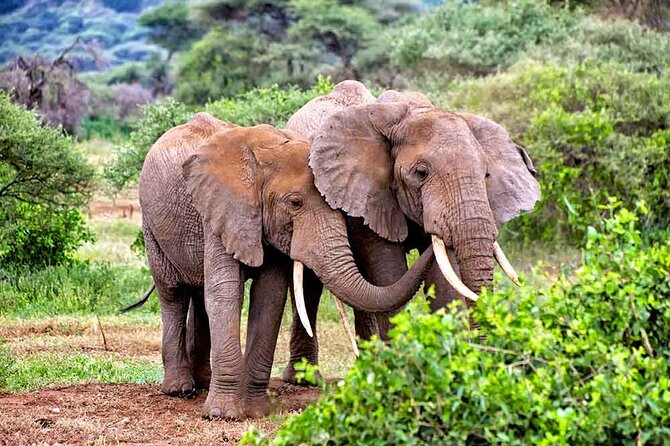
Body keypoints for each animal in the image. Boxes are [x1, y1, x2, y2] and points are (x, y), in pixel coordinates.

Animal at [139, 112, 434, 419]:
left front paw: (257, 411)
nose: (430, 236)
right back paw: (179, 389)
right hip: (150, 224)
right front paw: (223, 415)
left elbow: (270, 297)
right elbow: (226, 292)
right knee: (172, 293)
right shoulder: (223, 211)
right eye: (295, 203)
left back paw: (204, 383)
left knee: (197, 293)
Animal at [284, 81, 540, 370]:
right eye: (421, 173)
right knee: (309, 286)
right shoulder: (367, 196)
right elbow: (389, 272)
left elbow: (442, 278)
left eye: (486, 174)